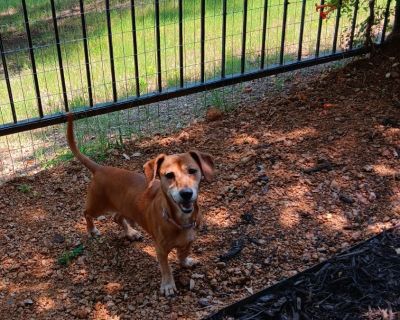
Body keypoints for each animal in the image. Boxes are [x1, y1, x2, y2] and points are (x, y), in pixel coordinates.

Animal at [67, 114, 214, 296]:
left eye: (192, 171)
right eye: (169, 175)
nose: (186, 193)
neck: (179, 220)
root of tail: (100, 168)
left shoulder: (189, 240)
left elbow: (183, 253)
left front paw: (185, 261)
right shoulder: (161, 249)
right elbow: (166, 268)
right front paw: (168, 285)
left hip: (126, 207)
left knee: (116, 217)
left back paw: (131, 233)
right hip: (97, 206)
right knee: (86, 213)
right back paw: (92, 230)